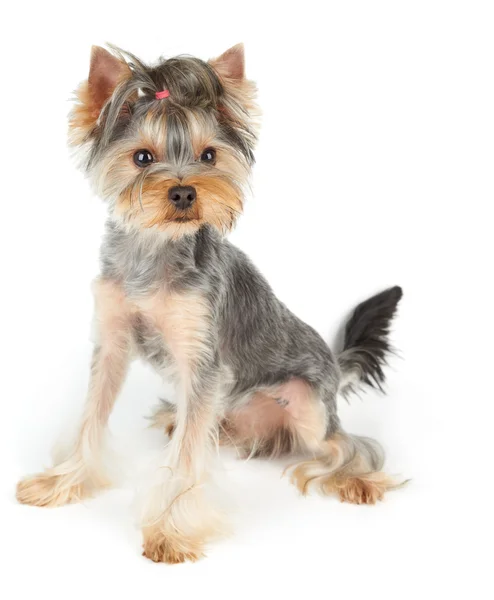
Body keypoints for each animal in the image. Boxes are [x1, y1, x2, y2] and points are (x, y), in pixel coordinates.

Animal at [17, 44, 404, 564]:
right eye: (142, 157)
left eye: (208, 155)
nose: (184, 191)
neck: (156, 250)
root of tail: (333, 365)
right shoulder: (112, 343)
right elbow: (90, 420)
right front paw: (63, 482)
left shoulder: (202, 360)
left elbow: (186, 459)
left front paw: (170, 531)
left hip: (306, 404)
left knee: (345, 444)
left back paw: (358, 480)